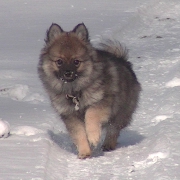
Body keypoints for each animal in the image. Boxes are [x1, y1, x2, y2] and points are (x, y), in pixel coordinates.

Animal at [38, 22, 141, 159]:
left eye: (76, 61)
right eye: (59, 61)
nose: (68, 73)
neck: (75, 91)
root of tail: (124, 61)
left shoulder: (100, 102)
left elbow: (91, 116)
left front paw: (93, 137)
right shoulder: (70, 115)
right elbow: (79, 134)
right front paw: (84, 152)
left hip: (121, 112)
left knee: (113, 129)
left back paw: (108, 144)